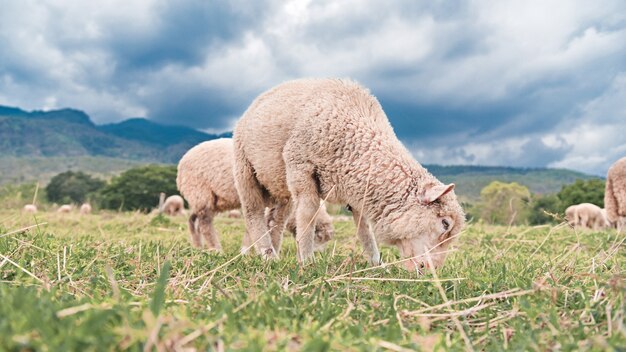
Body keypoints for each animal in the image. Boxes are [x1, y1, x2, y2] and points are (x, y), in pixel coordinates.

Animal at [176, 139, 332, 252]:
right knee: (204, 224)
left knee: (193, 221)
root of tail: (182, 162)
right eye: (318, 237)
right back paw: (216, 249)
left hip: (202, 199)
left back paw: (198, 246)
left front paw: (248, 251)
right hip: (200, 192)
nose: (321, 254)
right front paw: (248, 250)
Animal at [230, 77, 464, 270]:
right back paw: (266, 255)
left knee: (275, 221)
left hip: (280, 184)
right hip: (245, 168)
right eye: (445, 223)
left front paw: (377, 264)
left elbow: (364, 230)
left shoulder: (357, 188)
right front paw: (307, 261)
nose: (431, 271)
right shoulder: (301, 166)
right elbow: (308, 214)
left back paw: (274, 254)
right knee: (253, 214)